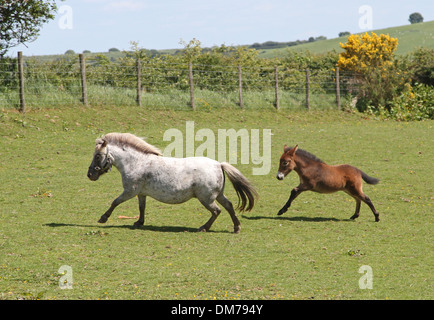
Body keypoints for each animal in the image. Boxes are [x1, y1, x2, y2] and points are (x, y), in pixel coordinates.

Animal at [88, 131, 258, 234]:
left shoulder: (130, 191)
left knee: (217, 211)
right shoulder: (141, 193)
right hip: (218, 195)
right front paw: (139, 222)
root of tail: (218, 165)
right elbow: (142, 207)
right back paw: (236, 227)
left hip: (206, 198)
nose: (90, 175)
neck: (137, 163)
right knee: (228, 206)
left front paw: (103, 218)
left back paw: (204, 228)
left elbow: (115, 202)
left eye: (98, 156)